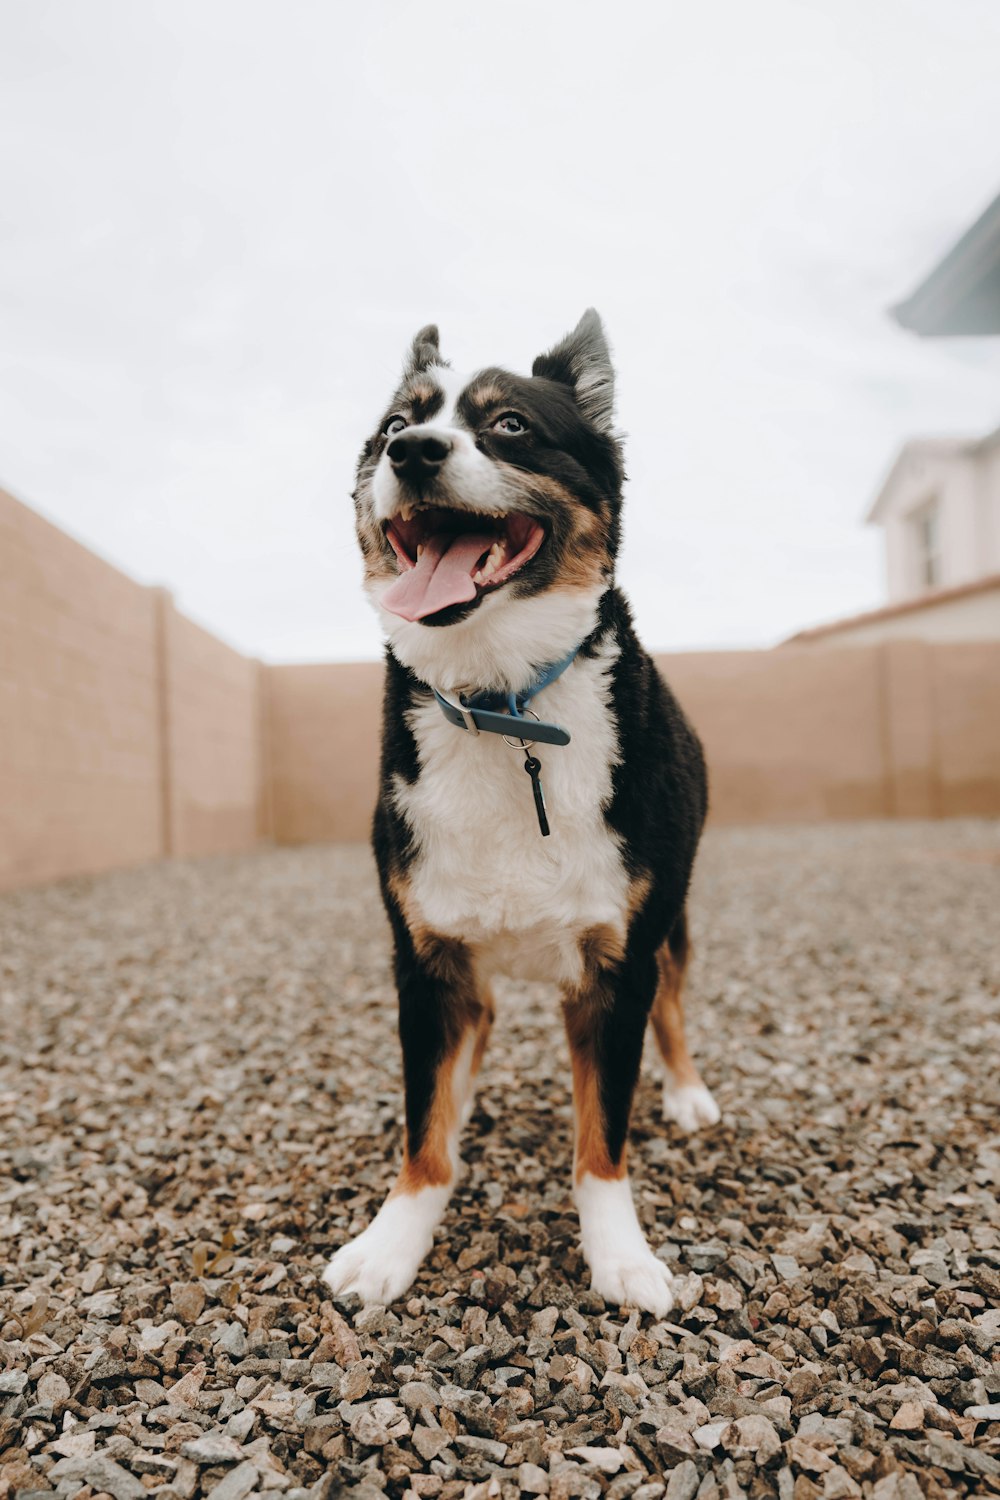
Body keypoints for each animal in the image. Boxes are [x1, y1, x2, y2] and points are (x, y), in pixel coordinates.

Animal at [325, 313, 716, 1314]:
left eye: (509, 425)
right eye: (396, 423)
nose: (414, 453)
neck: (502, 704)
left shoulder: (620, 964)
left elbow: (601, 1139)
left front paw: (621, 1255)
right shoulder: (425, 961)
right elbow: (423, 1126)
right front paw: (394, 1241)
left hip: (674, 920)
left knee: (676, 1004)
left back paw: (687, 1092)